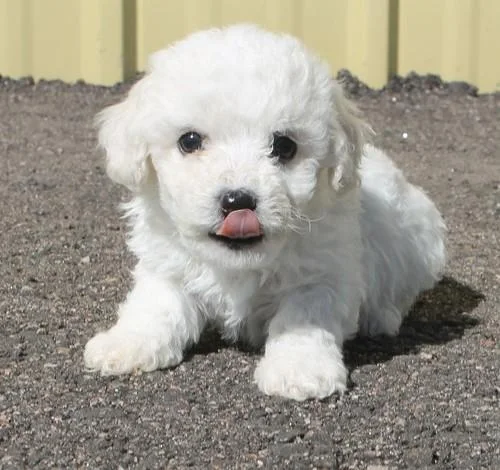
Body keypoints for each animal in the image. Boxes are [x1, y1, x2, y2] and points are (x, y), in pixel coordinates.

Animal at [84, 24, 446, 401]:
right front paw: (127, 344)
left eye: (284, 146)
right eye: (190, 141)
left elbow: (302, 317)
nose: (237, 201)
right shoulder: (166, 264)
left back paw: (382, 317)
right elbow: (155, 305)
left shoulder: (324, 274)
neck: (239, 264)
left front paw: (299, 369)